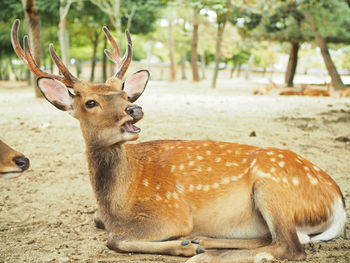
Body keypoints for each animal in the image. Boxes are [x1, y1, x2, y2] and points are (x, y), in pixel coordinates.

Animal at [11, 19, 348, 263]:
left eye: (124, 94)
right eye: (90, 102)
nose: (134, 109)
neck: (115, 202)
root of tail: (337, 201)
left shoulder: (172, 213)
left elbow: (114, 239)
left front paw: (182, 245)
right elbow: (102, 226)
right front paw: (189, 243)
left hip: (272, 186)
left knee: (291, 245)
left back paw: (203, 253)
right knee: (277, 238)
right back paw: (203, 241)